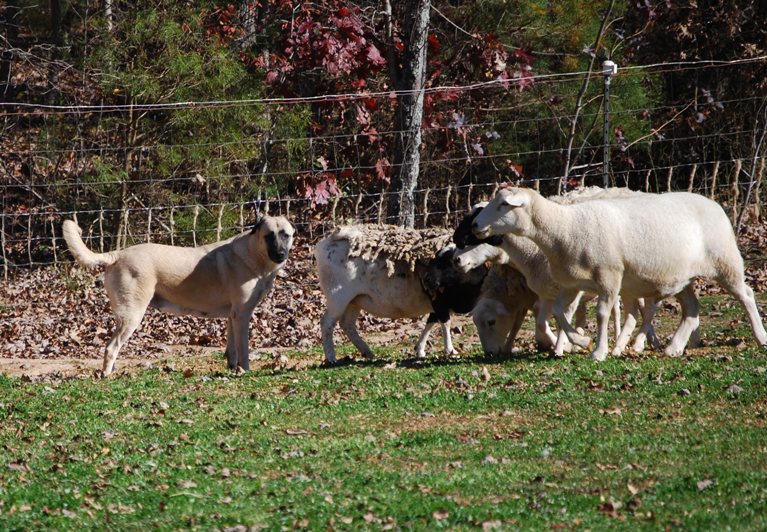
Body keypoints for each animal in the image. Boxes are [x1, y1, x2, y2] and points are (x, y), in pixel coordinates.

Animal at [315, 223, 489, 363]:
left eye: (450, 260)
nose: (427, 279)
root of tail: (326, 242)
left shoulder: (438, 302)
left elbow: (431, 322)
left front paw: (420, 350)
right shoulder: (438, 299)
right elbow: (445, 322)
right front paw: (450, 350)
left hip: (355, 300)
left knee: (347, 324)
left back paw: (367, 352)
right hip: (338, 297)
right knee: (327, 323)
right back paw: (331, 357)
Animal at [471, 187, 767, 361]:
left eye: (503, 205)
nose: (474, 225)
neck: (564, 228)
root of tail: (713, 203)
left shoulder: (609, 276)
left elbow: (602, 313)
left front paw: (599, 351)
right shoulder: (571, 284)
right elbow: (557, 312)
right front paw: (580, 340)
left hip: (725, 261)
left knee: (746, 294)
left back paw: (760, 337)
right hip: (682, 277)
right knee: (692, 308)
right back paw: (674, 347)